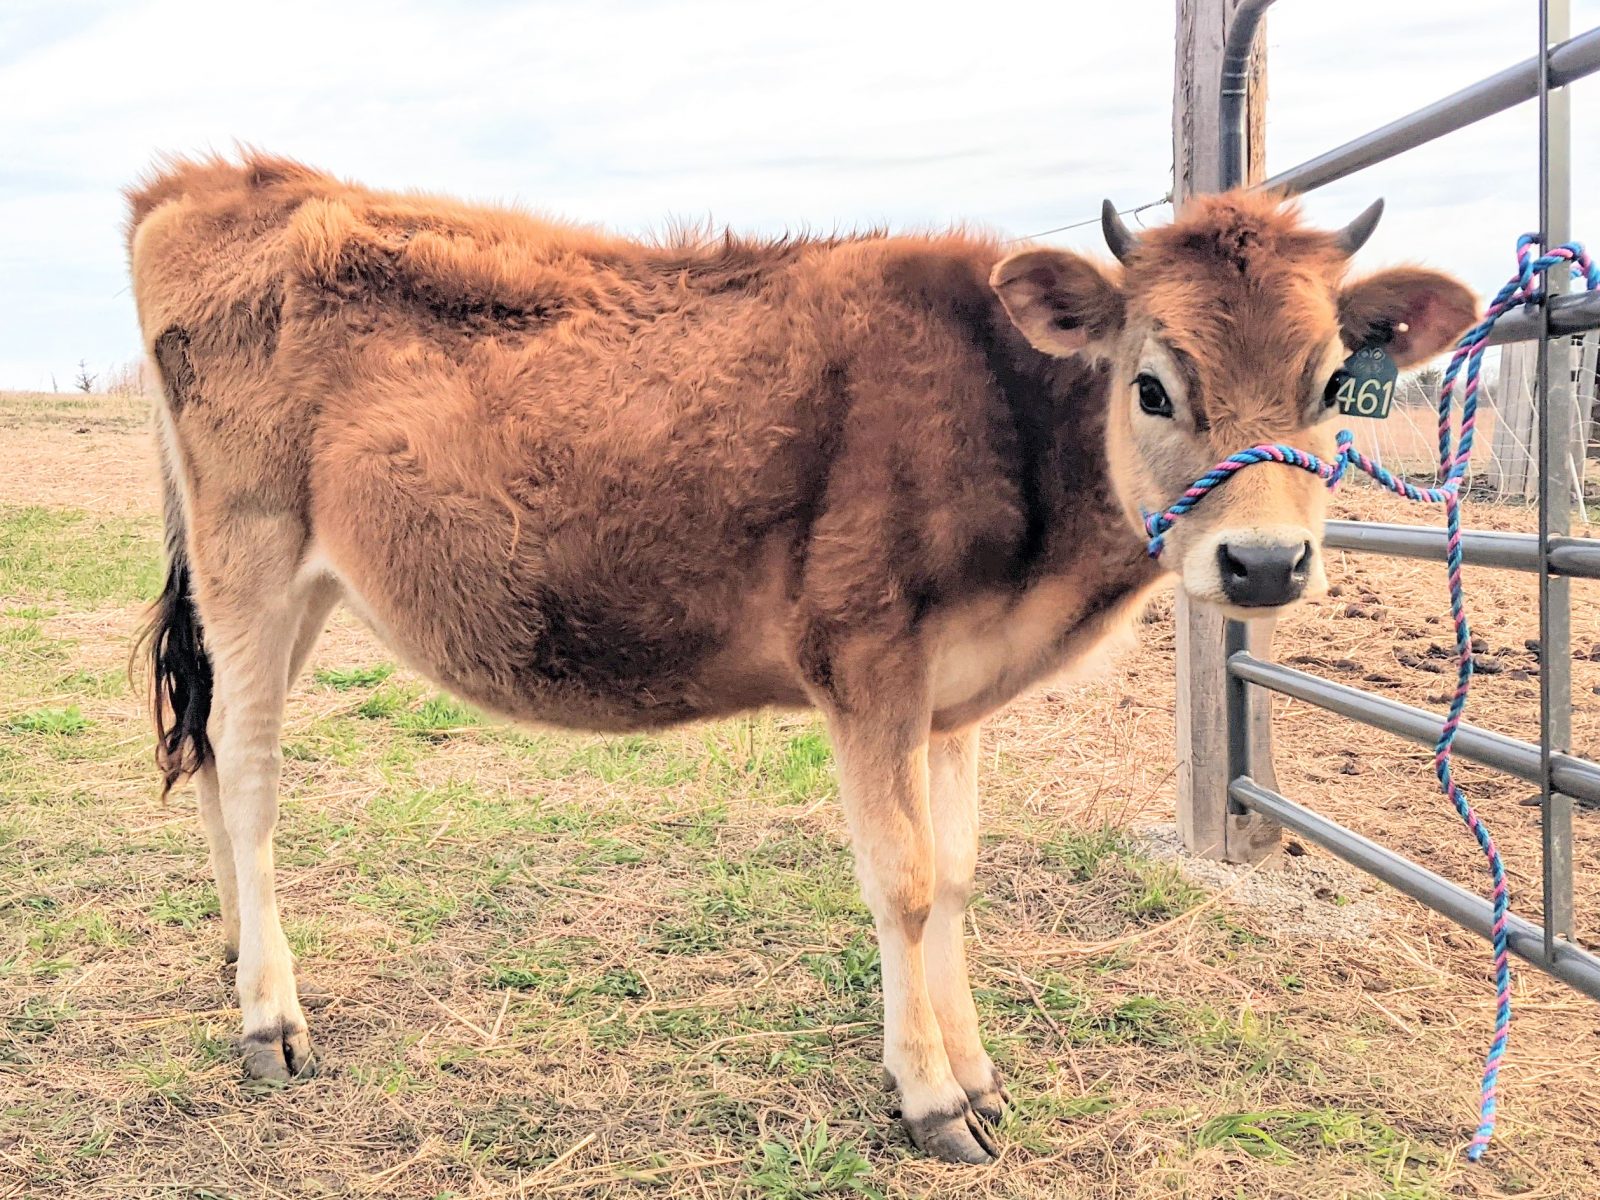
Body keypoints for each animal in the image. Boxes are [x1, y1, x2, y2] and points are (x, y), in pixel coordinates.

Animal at [128, 155, 1472, 1171]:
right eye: (1150, 385)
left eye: (1331, 385)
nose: (1263, 565)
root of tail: (216, 182)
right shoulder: (866, 660)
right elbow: (906, 883)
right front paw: (931, 1100)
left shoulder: (954, 697)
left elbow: (959, 876)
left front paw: (977, 1073)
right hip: (252, 550)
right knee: (249, 771)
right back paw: (272, 1016)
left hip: (298, 583)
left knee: (214, 759)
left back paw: (235, 957)